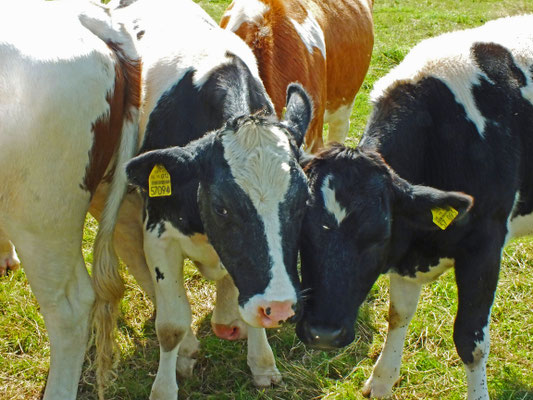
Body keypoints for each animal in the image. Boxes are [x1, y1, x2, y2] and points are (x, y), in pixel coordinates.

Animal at [92, 1, 312, 398]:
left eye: (303, 202)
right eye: (222, 207)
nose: (278, 307)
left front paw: (262, 363)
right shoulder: (159, 234)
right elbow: (172, 324)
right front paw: (165, 386)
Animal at [296, 15, 532, 400]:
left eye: (378, 235)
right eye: (302, 232)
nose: (323, 334)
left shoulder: (485, 244)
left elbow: (471, 341)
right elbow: (399, 314)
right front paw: (382, 379)